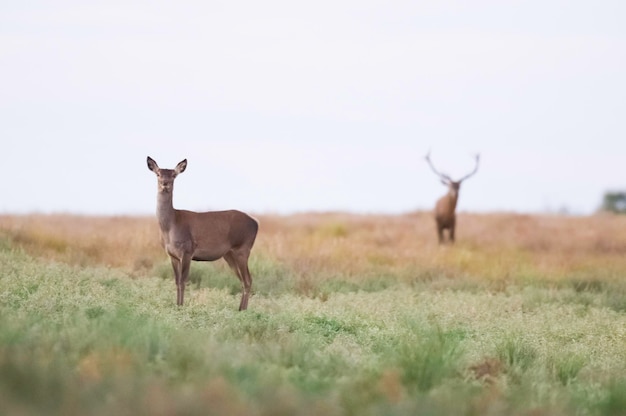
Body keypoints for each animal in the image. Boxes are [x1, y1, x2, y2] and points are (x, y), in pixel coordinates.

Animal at [145, 158, 258, 310]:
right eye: (158, 174)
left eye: (174, 175)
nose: (165, 184)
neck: (169, 227)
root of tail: (256, 223)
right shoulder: (172, 255)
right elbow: (176, 281)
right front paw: (177, 306)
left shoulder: (187, 250)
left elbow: (183, 281)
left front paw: (181, 307)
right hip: (229, 254)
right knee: (243, 280)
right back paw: (240, 309)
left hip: (243, 249)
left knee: (248, 279)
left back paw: (243, 310)